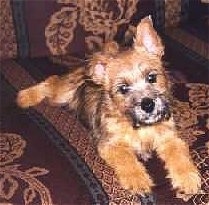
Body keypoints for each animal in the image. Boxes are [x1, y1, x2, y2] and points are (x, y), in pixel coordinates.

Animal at [16, 16, 201, 199]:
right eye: (123, 89)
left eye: (152, 78)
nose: (147, 104)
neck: (140, 127)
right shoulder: (110, 145)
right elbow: (126, 158)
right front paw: (137, 179)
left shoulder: (170, 138)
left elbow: (179, 154)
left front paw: (188, 178)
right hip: (61, 94)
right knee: (51, 82)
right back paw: (24, 97)